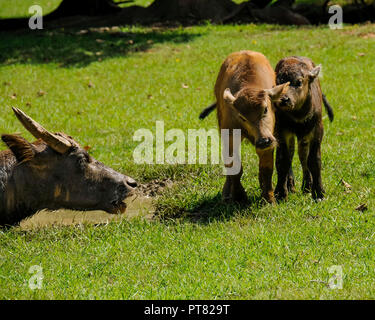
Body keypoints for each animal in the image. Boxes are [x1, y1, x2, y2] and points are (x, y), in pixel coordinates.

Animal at [274, 55, 334, 200]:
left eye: (299, 82)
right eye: (279, 82)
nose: (284, 99)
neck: (298, 116)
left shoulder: (316, 131)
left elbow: (313, 160)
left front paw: (319, 193)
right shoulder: (282, 131)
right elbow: (283, 160)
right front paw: (280, 193)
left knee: (303, 157)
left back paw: (306, 186)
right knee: (291, 155)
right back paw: (291, 186)